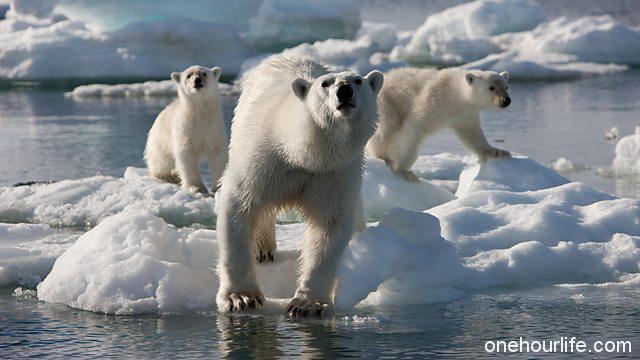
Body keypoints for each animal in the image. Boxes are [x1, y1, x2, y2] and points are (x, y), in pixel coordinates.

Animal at [144, 64, 228, 194]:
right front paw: (196, 187)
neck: (199, 113)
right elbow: (186, 154)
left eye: (204, 73)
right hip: (160, 141)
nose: (197, 80)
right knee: (161, 161)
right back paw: (169, 176)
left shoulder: (213, 127)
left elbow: (217, 153)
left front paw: (218, 187)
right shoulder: (186, 129)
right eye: (189, 75)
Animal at [215, 54, 384, 316]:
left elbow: (328, 226)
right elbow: (240, 204)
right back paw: (262, 249)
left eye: (358, 80)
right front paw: (240, 297)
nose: (344, 90)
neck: (302, 154)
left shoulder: (333, 173)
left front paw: (307, 304)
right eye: (325, 84)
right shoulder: (264, 159)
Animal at [368, 67, 512, 181]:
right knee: (385, 128)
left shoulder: (465, 115)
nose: (506, 100)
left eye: (506, 86)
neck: (455, 94)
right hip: (387, 102)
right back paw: (383, 156)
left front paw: (498, 152)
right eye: (491, 88)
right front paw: (403, 170)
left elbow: (473, 134)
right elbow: (413, 129)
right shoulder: (434, 100)